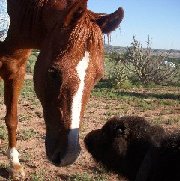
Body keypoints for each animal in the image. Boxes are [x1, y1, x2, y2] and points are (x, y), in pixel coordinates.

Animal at [0, 0, 124, 179]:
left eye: (98, 77)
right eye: (53, 72)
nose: (68, 156)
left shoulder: (16, 71)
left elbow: (12, 119)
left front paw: (14, 165)